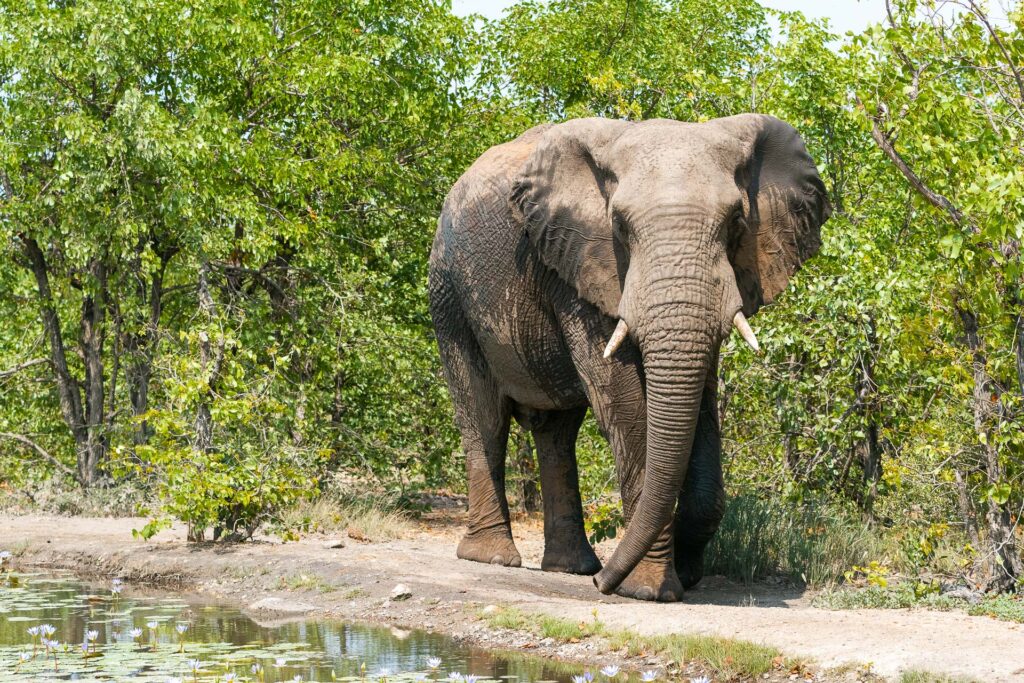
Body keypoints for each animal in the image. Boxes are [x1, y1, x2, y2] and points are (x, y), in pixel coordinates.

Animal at [428, 114, 827, 602]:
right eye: (618, 224)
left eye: (736, 221)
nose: (602, 586)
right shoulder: (581, 262)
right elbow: (623, 402)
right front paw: (649, 589)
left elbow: (698, 405)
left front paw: (684, 572)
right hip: (448, 291)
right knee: (483, 415)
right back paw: (495, 559)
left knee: (557, 431)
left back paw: (572, 567)